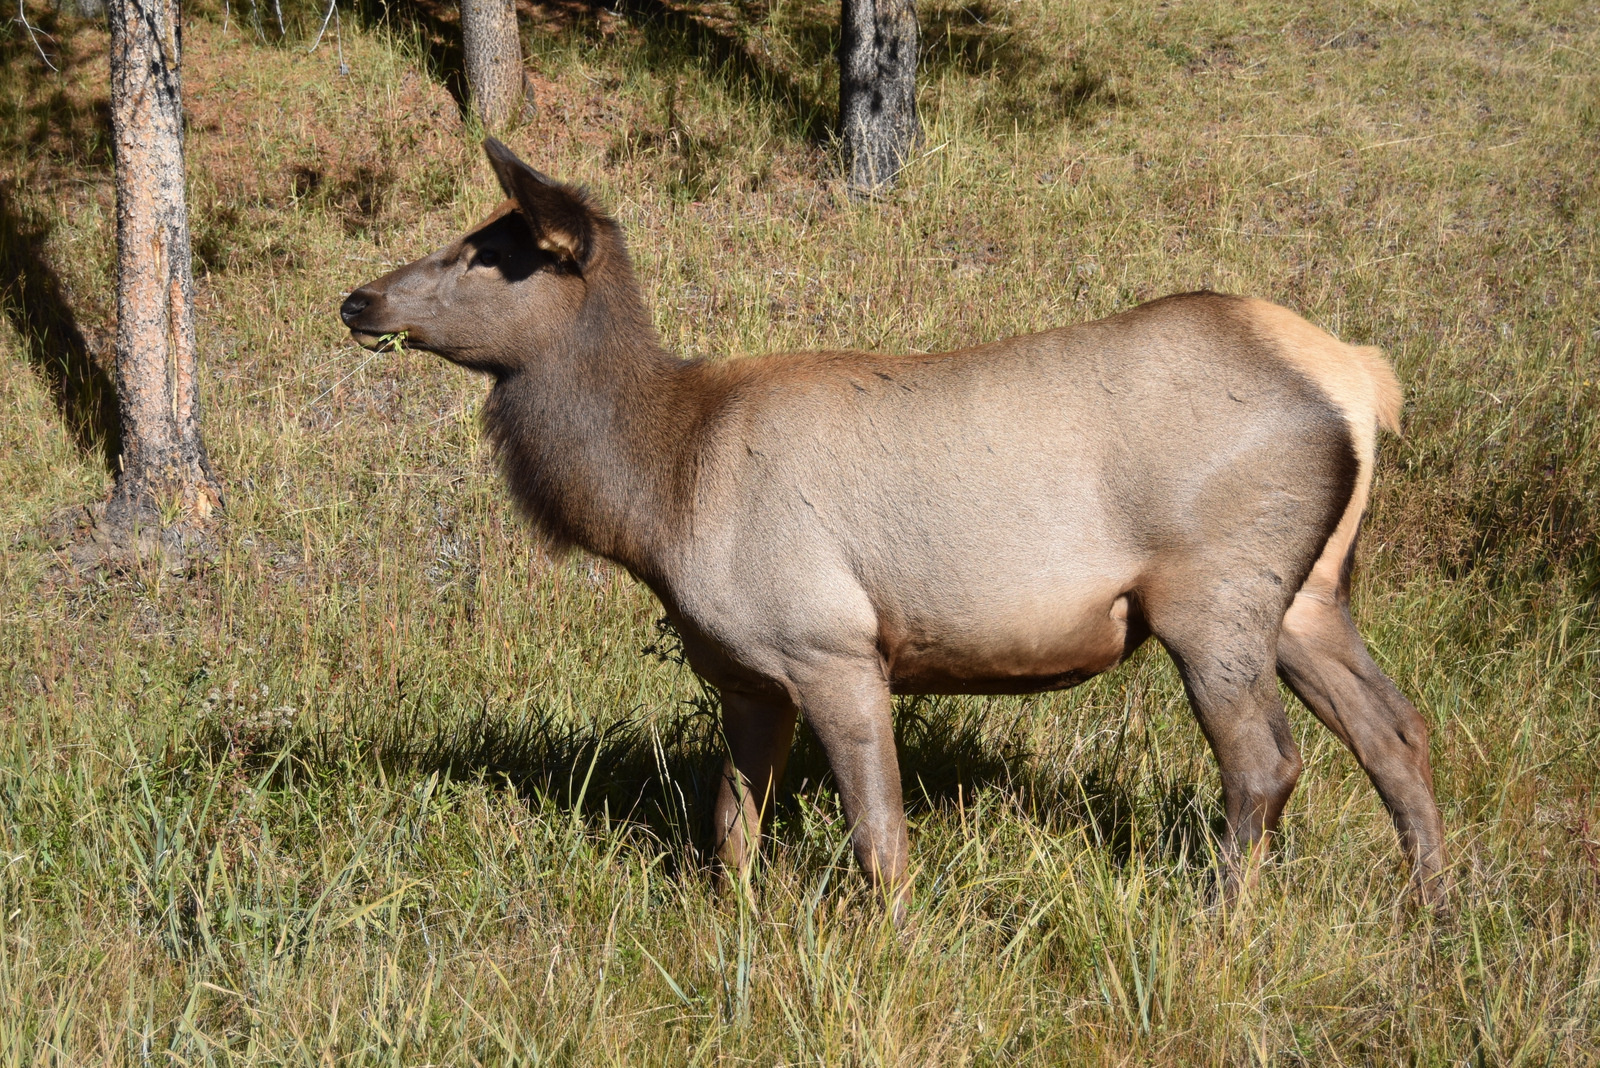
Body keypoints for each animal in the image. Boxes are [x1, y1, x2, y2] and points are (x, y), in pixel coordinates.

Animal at [340, 135, 1452, 920]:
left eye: (491, 254)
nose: (358, 298)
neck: (656, 493)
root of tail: (1360, 380)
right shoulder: (743, 674)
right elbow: (731, 823)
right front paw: (727, 923)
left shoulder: (829, 641)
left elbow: (878, 833)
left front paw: (892, 943)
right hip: (1309, 592)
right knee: (1395, 729)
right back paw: (1435, 905)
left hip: (1211, 587)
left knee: (1265, 760)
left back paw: (1218, 920)